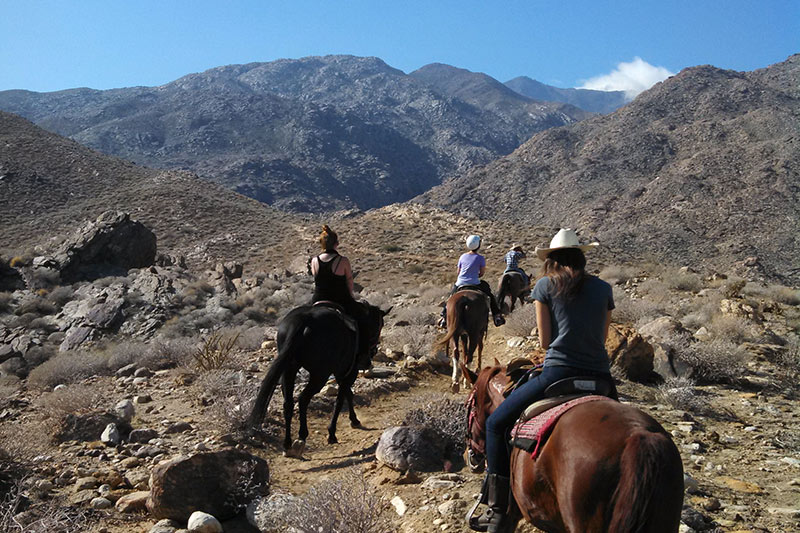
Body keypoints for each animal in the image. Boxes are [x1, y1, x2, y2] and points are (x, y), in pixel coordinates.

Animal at [248, 302, 390, 456]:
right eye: (379, 325)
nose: (372, 353)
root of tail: (303, 321)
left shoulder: (341, 374)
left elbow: (348, 394)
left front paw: (354, 420)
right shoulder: (349, 372)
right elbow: (340, 400)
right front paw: (332, 433)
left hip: (289, 369)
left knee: (288, 404)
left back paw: (287, 444)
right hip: (320, 374)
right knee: (303, 399)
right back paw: (302, 436)